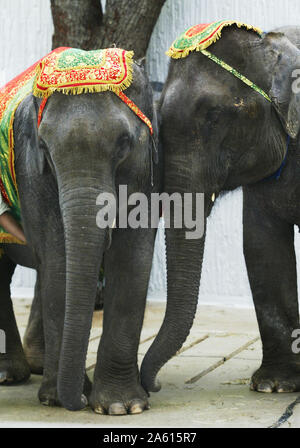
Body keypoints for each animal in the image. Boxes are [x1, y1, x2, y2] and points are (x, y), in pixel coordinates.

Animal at [0, 48, 162, 412]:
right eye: (44, 147)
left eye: (124, 143)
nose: (78, 401)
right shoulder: (33, 172)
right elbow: (58, 256)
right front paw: (57, 399)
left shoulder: (146, 168)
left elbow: (132, 257)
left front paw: (122, 406)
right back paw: (11, 376)